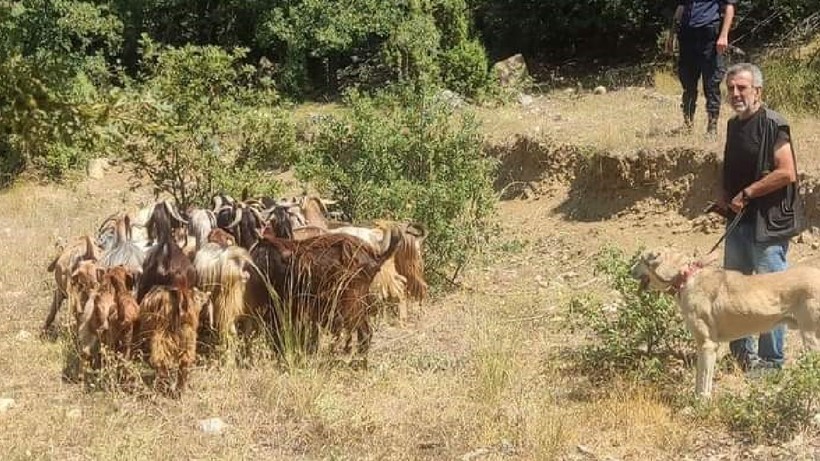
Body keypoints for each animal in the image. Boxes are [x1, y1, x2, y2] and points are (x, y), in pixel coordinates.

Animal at [636, 246, 820, 398]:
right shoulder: (702, 345)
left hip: (811, 337)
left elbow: (704, 381)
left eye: (640, 260)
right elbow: (699, 377)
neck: (687, 278)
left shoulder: (708, 345)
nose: (630, 270)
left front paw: (700, 404)